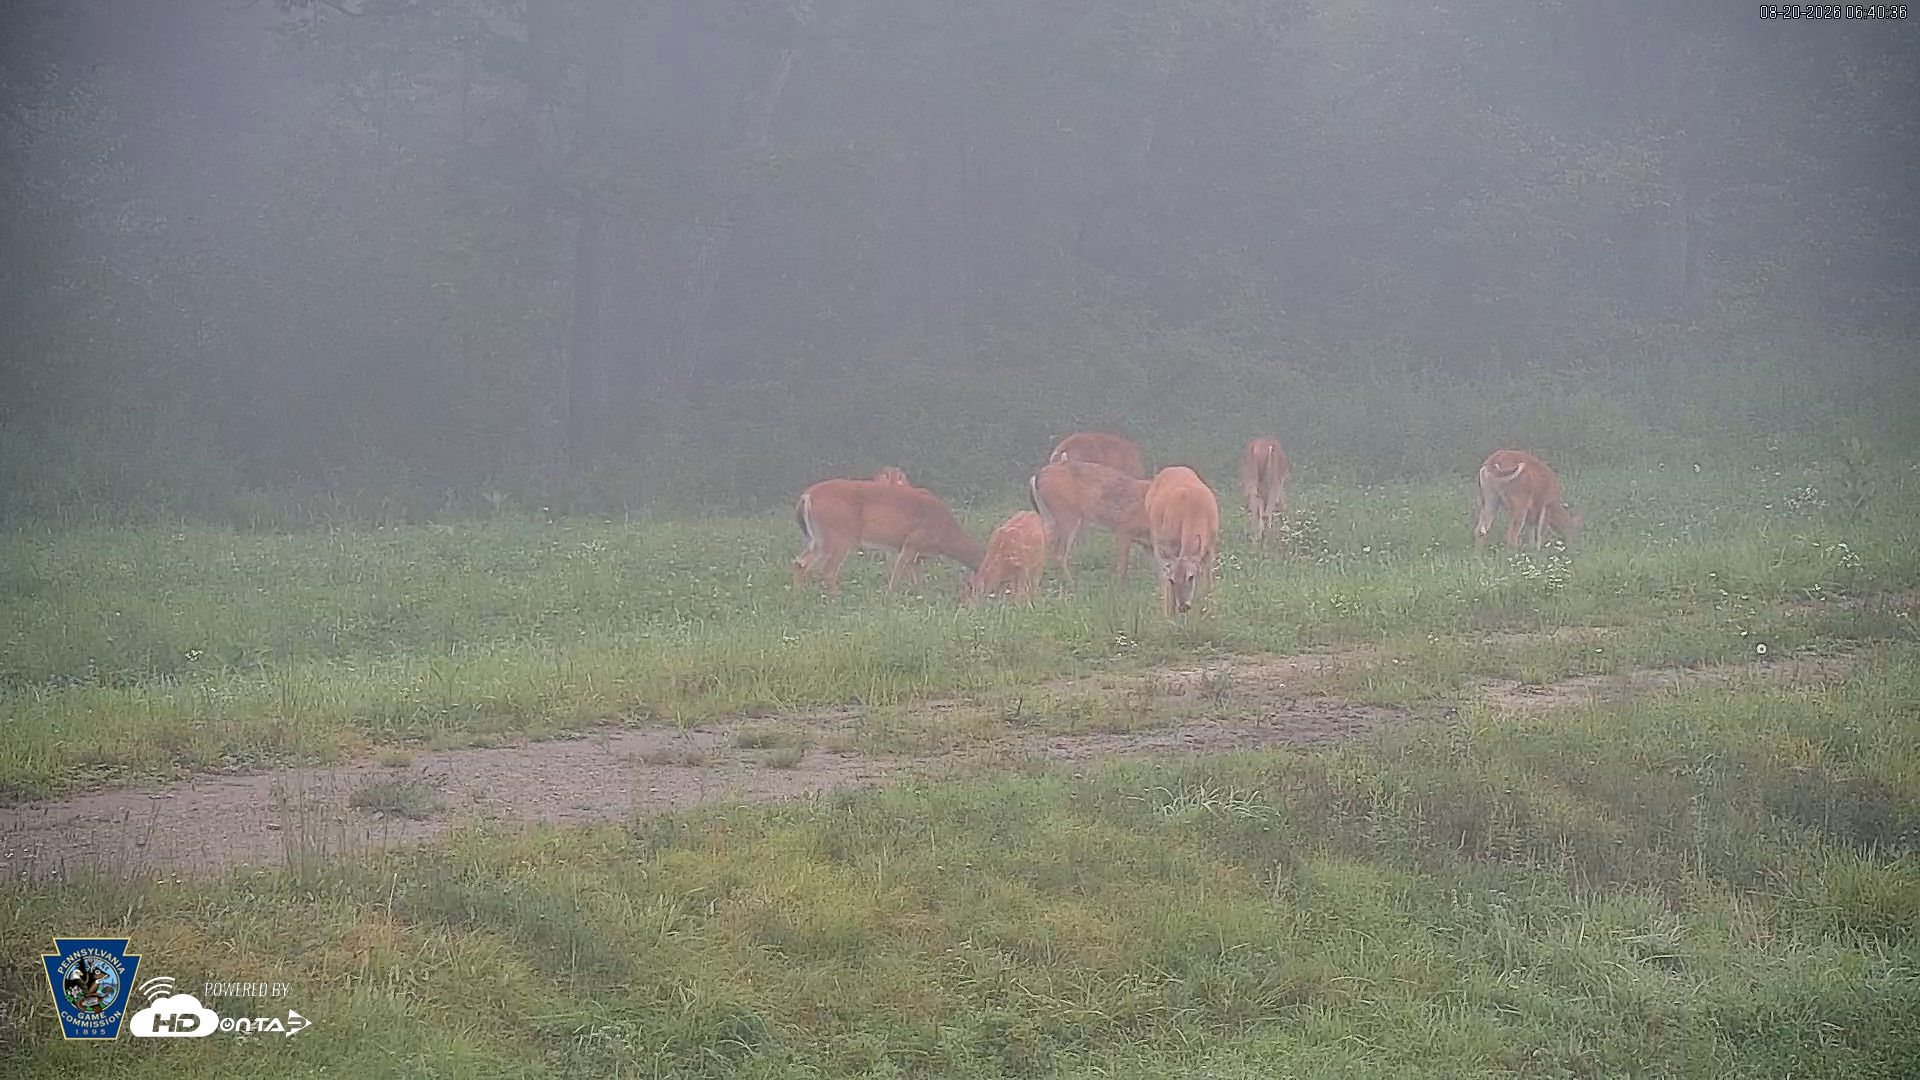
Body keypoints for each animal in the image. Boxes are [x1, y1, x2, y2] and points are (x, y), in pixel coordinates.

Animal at [792, 478, 984, 596]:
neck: (946, 534)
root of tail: (807, 495)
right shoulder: (911, 542)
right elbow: (897, 574)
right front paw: (890, 597)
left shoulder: (917, 555)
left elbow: (920, 580)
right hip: (839, 536)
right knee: (828, 570)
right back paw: (836, 597)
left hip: (819, 538)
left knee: (800, 562)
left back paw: (800, 594)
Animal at [1145, 466, 1221, 617]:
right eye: (1173, 580)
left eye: (1191, 577)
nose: (1183, 607)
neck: (1195, 510)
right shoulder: (1171, 546)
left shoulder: (1210, 548)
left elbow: (1208, 583)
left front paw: (1210, 613)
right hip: (1156, 538)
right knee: (1162, 577)